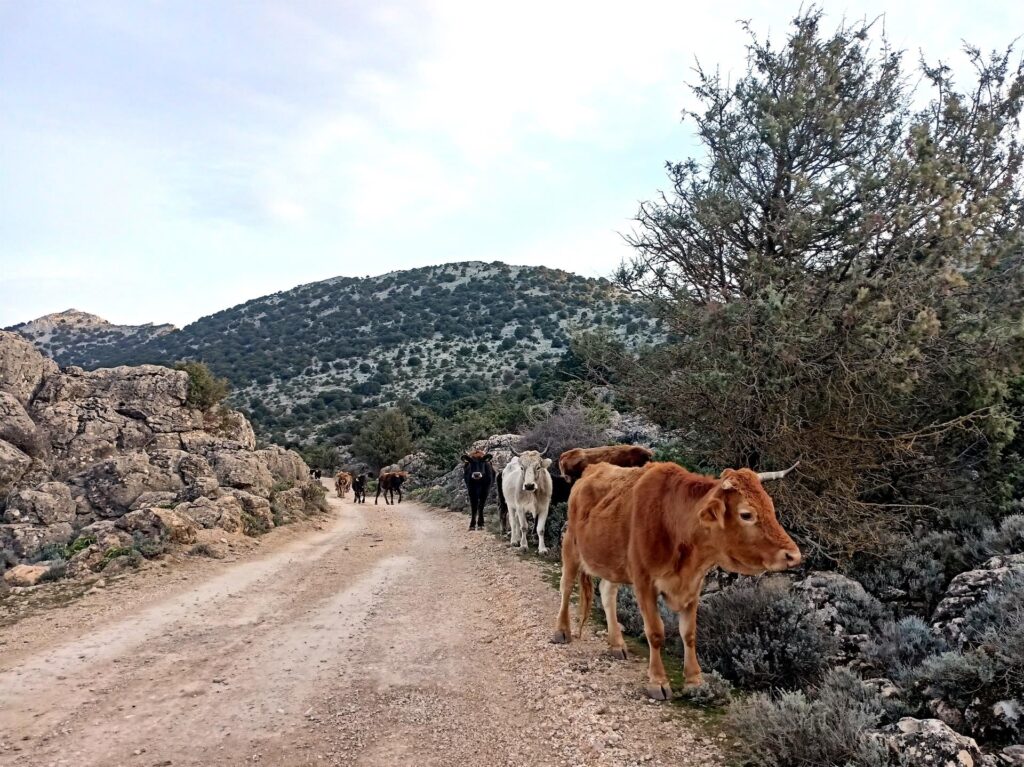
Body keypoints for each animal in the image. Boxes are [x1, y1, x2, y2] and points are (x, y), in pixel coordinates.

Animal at [552, 460, 798, 700]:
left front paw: (694, 681)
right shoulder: (644, 583)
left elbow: (689, 634)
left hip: (612, 563)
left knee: (607, 593)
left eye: (771, 507)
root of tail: (592, 469)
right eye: (746, 514)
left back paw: (616, 644)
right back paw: (562, 631)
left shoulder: (693, 586)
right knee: (566, 586)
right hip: (571, 545)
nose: (793, 555)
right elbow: (655, 632)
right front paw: (658, 682)